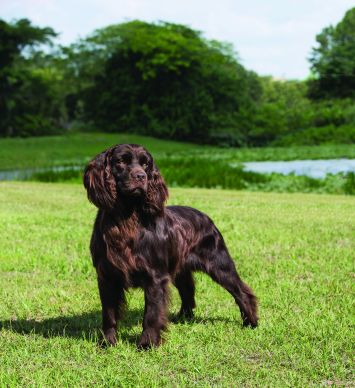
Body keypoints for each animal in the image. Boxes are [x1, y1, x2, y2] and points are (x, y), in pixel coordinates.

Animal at [85, 143, 260, 348]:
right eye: (121, 161)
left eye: (145, 164)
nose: (141, 177)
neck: (127, 219)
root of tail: (206, 217)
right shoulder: (107, 276)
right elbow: (109, 314)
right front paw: (107, 342)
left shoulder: (155, 277)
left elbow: (151, 314)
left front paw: (147, 344)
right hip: (181, 269)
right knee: (188, 291)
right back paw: (184, 318)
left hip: (220, 265)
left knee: (241, 292)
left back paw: (251, 322)